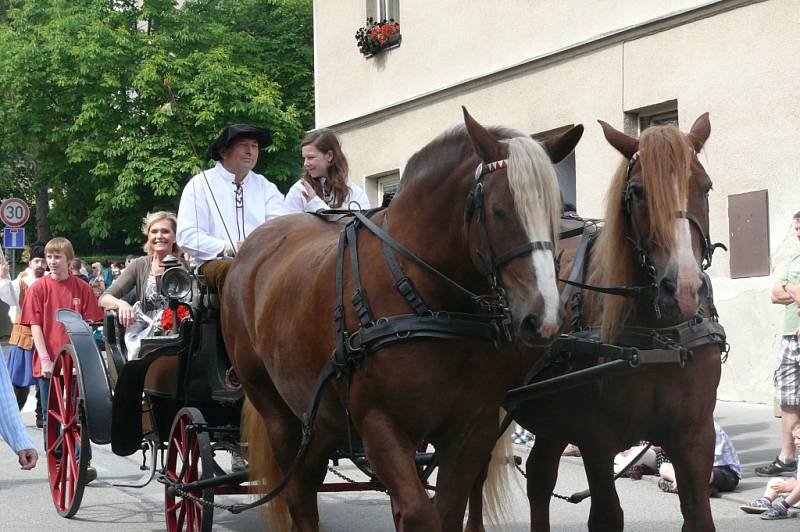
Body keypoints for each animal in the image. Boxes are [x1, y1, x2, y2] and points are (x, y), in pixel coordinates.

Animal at [222, 109, 584, 532]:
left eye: (557, 213)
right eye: (498, 211)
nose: (543, 319)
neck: (432, 303)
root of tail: (252, 248)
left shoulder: (471, 429)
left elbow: (448, 510)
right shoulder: (380, 424)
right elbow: (419, 512)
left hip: (321, 415)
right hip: (275, 409)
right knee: (298, 492)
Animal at [468, 112, 724, 532]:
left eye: (705, 187)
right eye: (637, 192)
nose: (685, 288)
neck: (658, 339)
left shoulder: (694, 435)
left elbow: (698, 515)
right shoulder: (596, 439)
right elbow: (606, 515)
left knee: (539, 477)